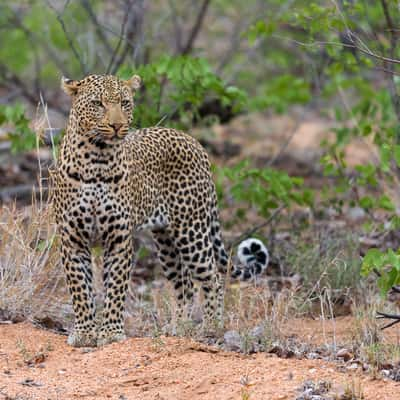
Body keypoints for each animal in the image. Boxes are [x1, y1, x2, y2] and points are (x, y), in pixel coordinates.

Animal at [50, 74, 268, 346]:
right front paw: (84, 334)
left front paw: (111, 333)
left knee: (212, 277)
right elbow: (80, 288)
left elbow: (116, 287)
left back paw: (211, 327)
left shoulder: (119, 238)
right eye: (98, 103)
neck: (96, 160)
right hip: (165, 239)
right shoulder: (72, 238)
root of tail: (194, 141)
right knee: (184, 283)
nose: (116, 126)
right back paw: (179, 327)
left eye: (124, 103)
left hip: (191, 230)